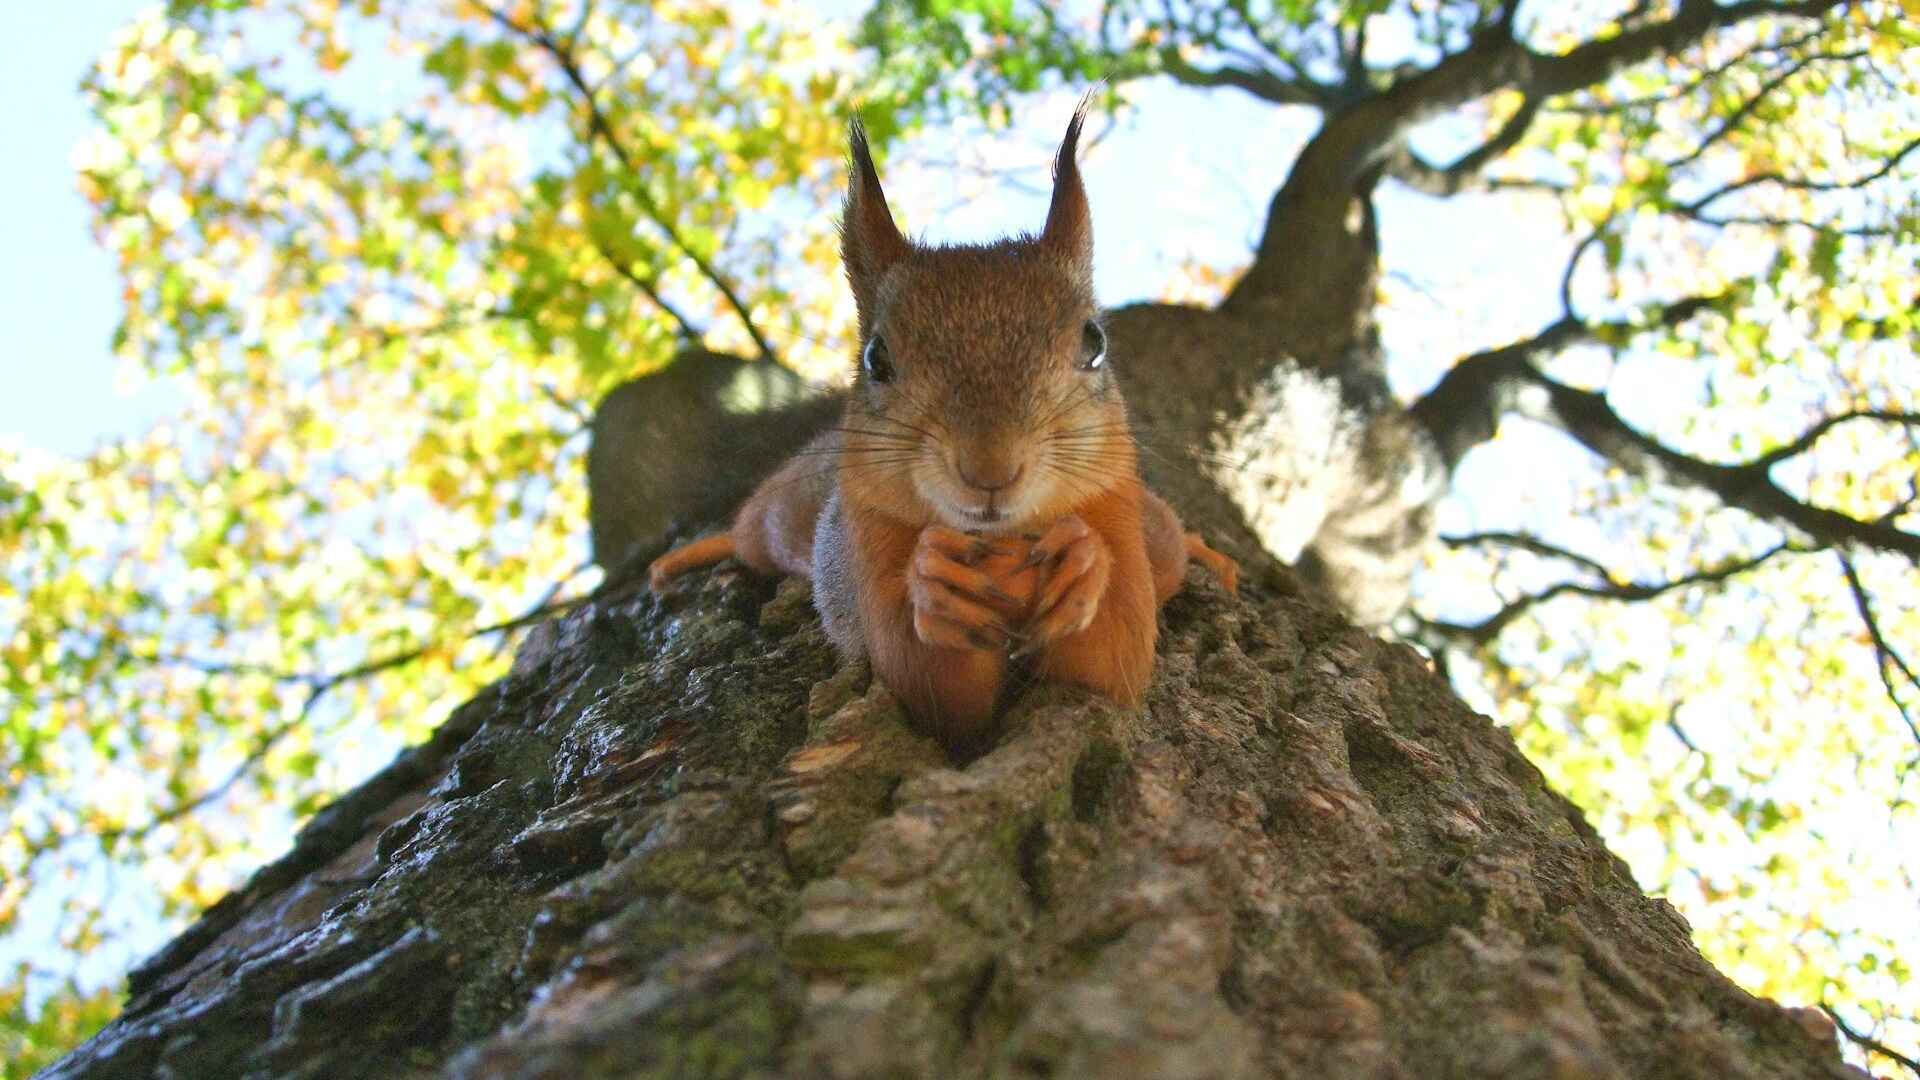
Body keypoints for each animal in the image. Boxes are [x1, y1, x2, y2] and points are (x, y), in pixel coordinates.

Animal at [647, 105, 1238, 748]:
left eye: (1095, 342)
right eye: (876, 359)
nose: (990, 470)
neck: (1002, 543)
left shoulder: (1116, 512)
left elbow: (1113, 663)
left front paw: (1083, 562)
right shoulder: (867, 542)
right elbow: (930, 686)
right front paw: (934, 583)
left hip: (1154, 532)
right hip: (780, 520)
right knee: (748, 533)